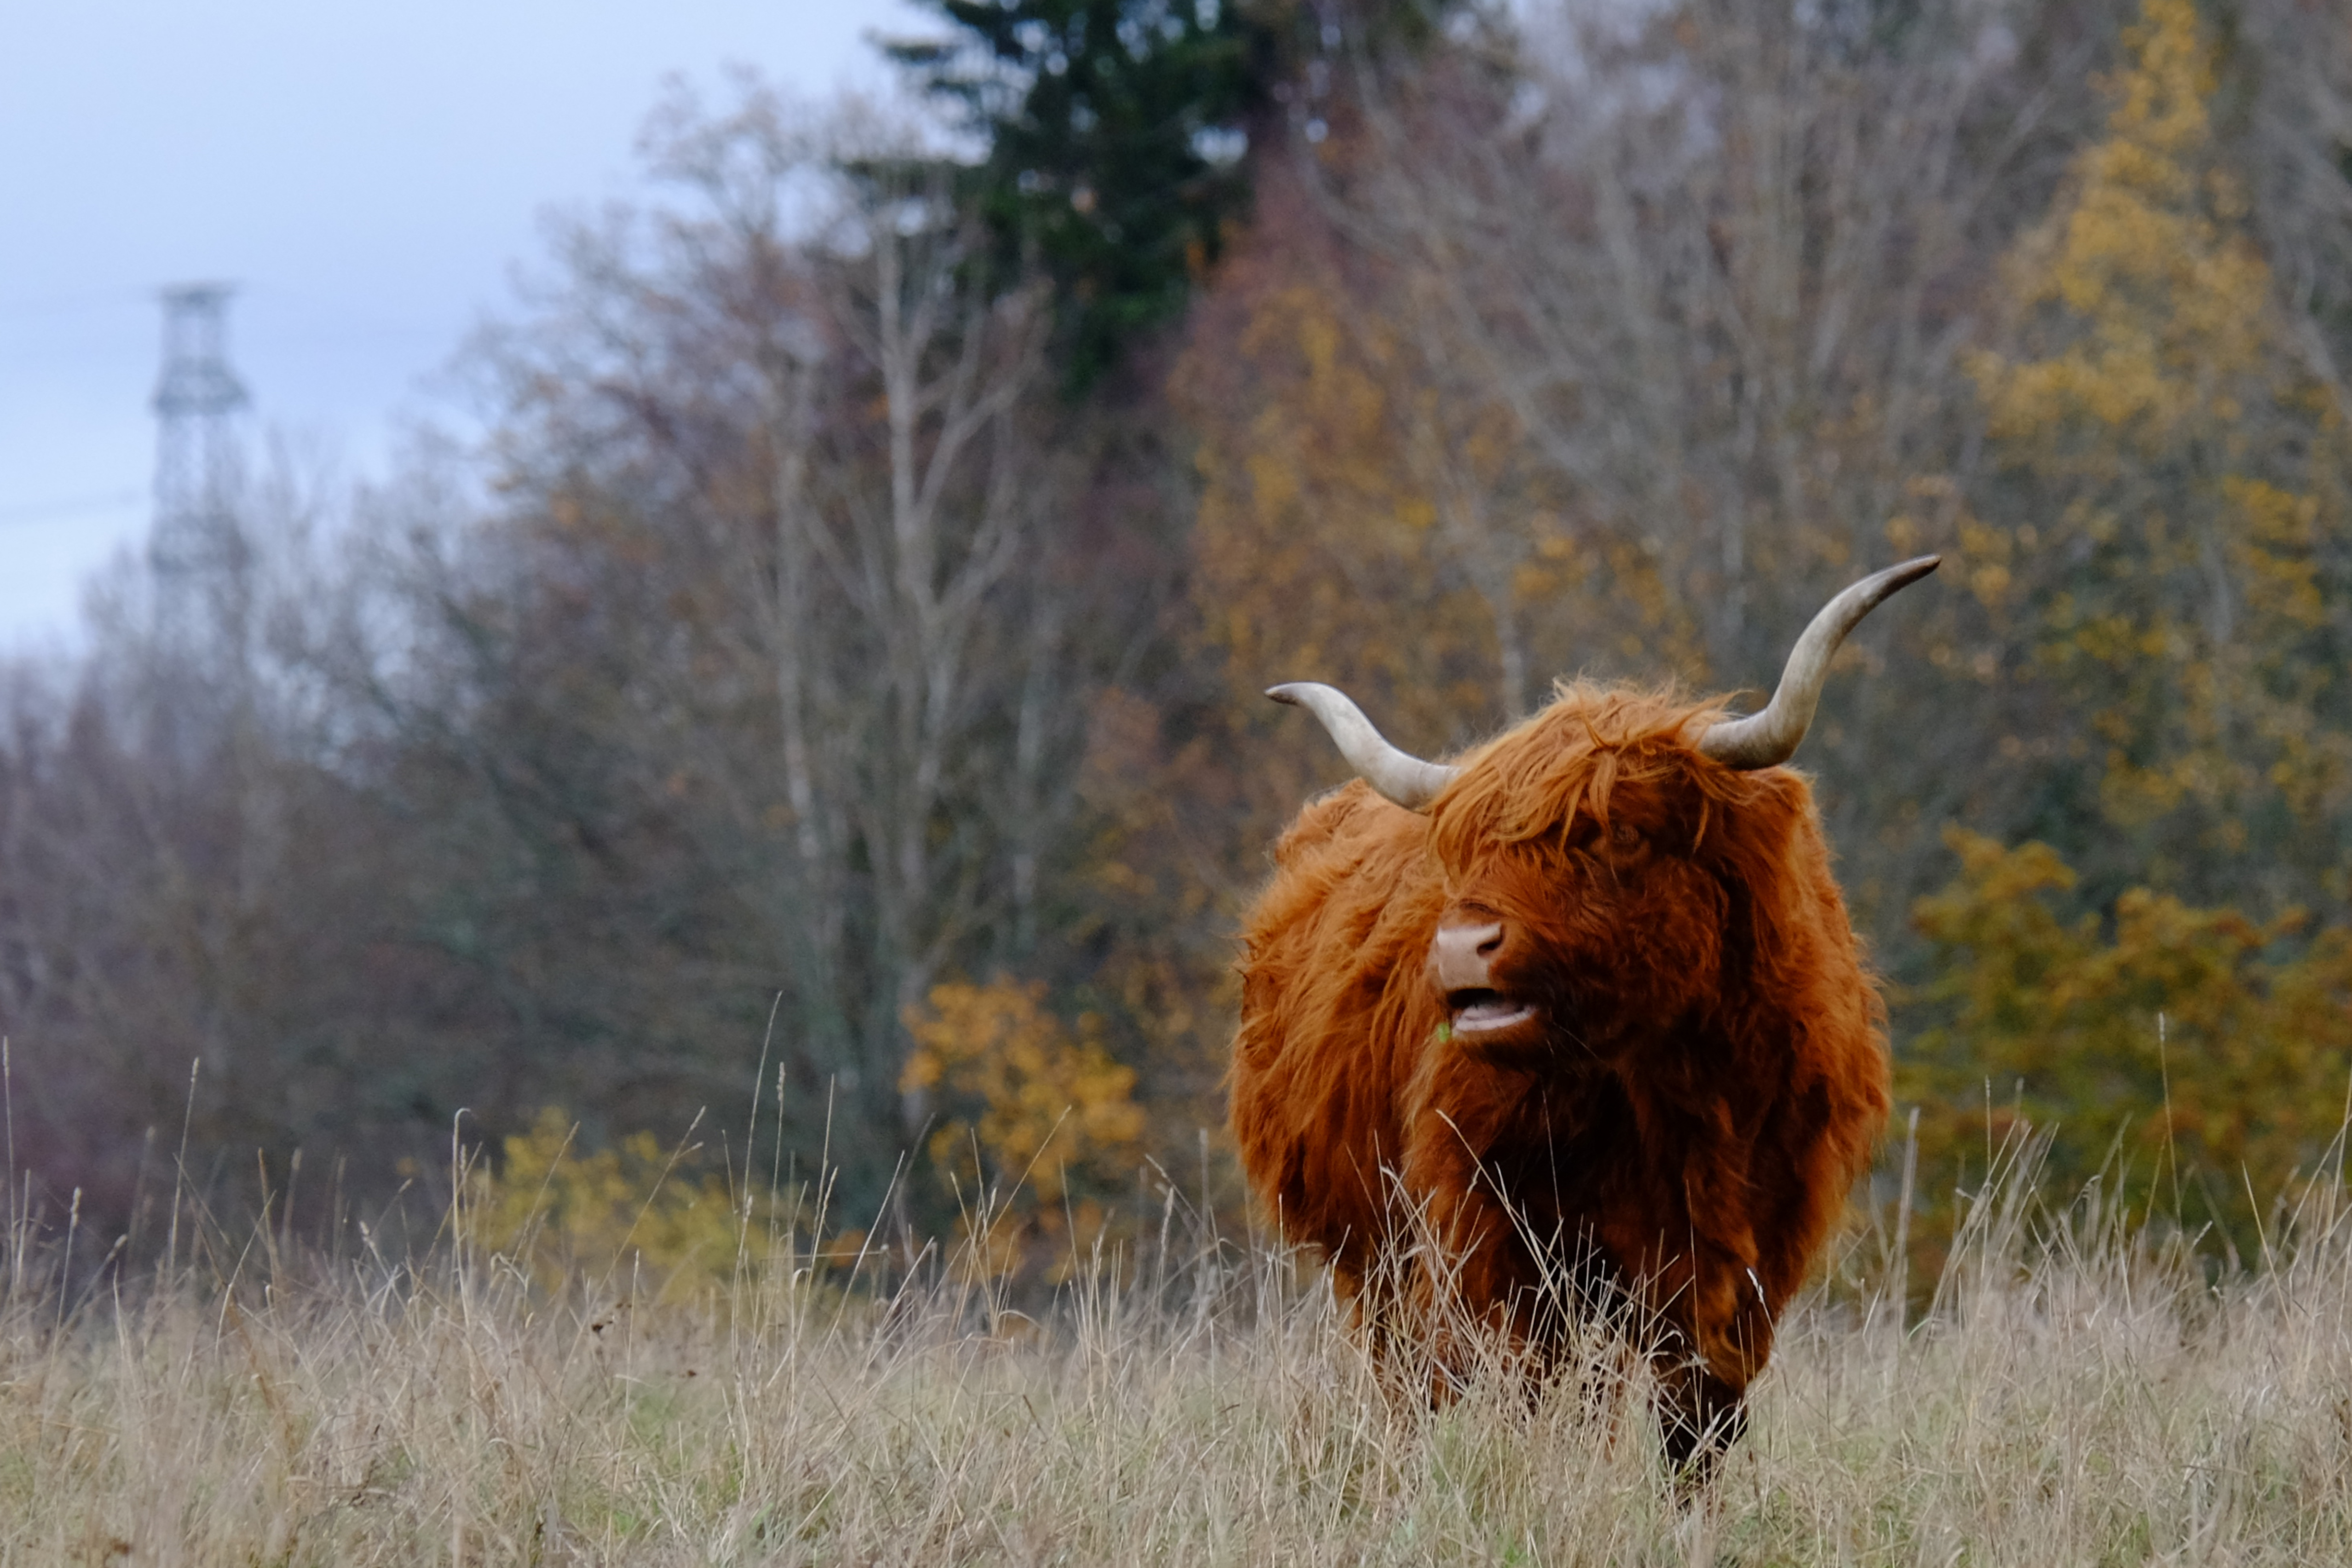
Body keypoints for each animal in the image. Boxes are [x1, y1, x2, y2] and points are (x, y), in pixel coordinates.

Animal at [1223, 557, 1938, 1467]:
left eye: (1620, 833)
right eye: (1466, 848)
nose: (1460, 946)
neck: (1667, 1089)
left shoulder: (1748, 1260)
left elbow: (1698, 1423)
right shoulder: (1496, 1245)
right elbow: (1534, 1396)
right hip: (1372, 1256)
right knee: (1414, 1379)